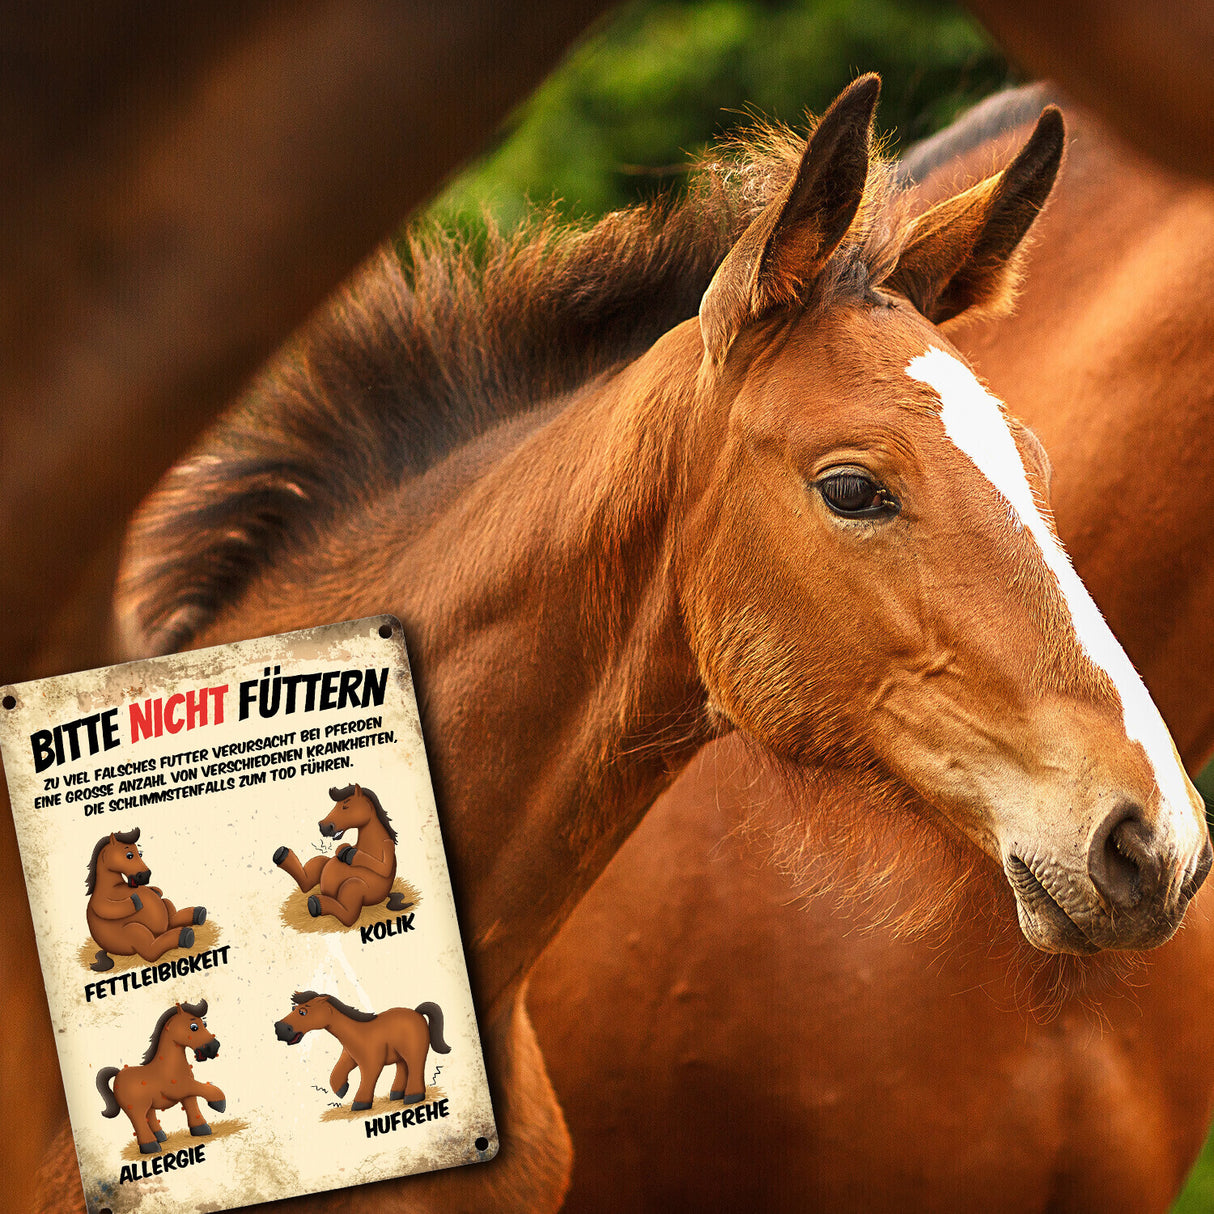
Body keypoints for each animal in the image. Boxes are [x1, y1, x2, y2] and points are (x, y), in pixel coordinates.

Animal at [85, 828, 206, 971]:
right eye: (129, 855)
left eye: (140, 854)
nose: (145, 875)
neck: (112, 886)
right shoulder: (99, 902)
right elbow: (107, 908)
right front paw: (136, 900)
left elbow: (157, 892)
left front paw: (156, 891)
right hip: (135, 931)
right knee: (151, 950)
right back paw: (185, 935)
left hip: (164, 914)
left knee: (170, 914)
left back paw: (198, 913)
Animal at [96, 999, 226, 1155]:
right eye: (193, 1027)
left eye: (204, 1024)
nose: (213, 1048)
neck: (168, 1067)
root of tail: (118, 1074)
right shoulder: (179, 1088)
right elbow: (204, 1087)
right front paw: (219, 1104)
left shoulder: (187, 1094)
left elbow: (193, 1106)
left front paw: (201, 1129)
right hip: (135, 1107)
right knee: (138, 1121)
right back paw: (151, 1146)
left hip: (149, 1104)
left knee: (149, 1116)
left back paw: (160, 1137)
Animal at [274, 783, 410, 926]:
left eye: (345, 806)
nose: (323, 827)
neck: (371, 842)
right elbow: (342, 847)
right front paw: (342, 850)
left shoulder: (388, 847)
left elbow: (383, 868)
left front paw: (348, 854)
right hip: (323, 864)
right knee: (309, 879)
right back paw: (281, 854)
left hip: (355, 886)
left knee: (348, 916)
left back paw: (316, 903)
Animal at [274, 991, 450, 1111]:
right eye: (294, 1008)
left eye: (303, 1012)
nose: (279, 1028)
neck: (358, 1032)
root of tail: (417, 1013)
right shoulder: (349, 1057)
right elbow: (336, 1073)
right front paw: (342, 1090)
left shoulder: (371, 1063)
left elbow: (367, 1079)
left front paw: (360, 1104)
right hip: (400, 1056)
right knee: (403, 1068)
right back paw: (396, 1094)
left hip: (413, 1052)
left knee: (415, 1066)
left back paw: (413, 1097)